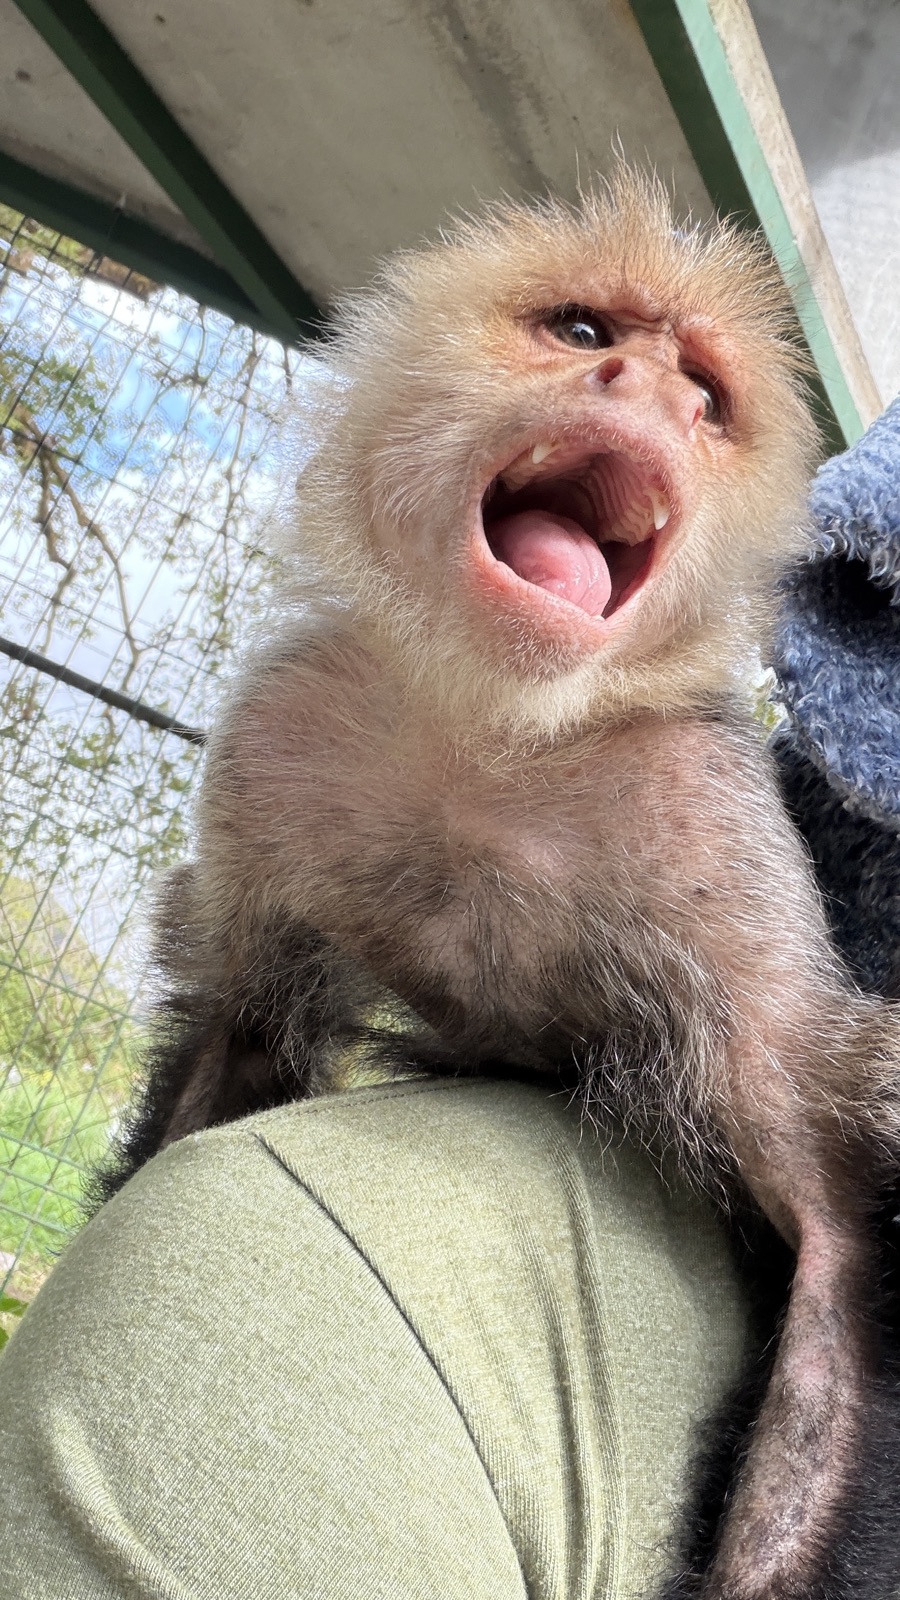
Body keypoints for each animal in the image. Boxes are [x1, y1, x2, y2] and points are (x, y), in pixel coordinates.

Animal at [102, 169, 900, 1599]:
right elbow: (237, 1029)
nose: (643, 392)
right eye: (584, 333)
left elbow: (831, 1238)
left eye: (704, 396)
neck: (492, 730)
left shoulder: (706, 820)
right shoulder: (283, 731)